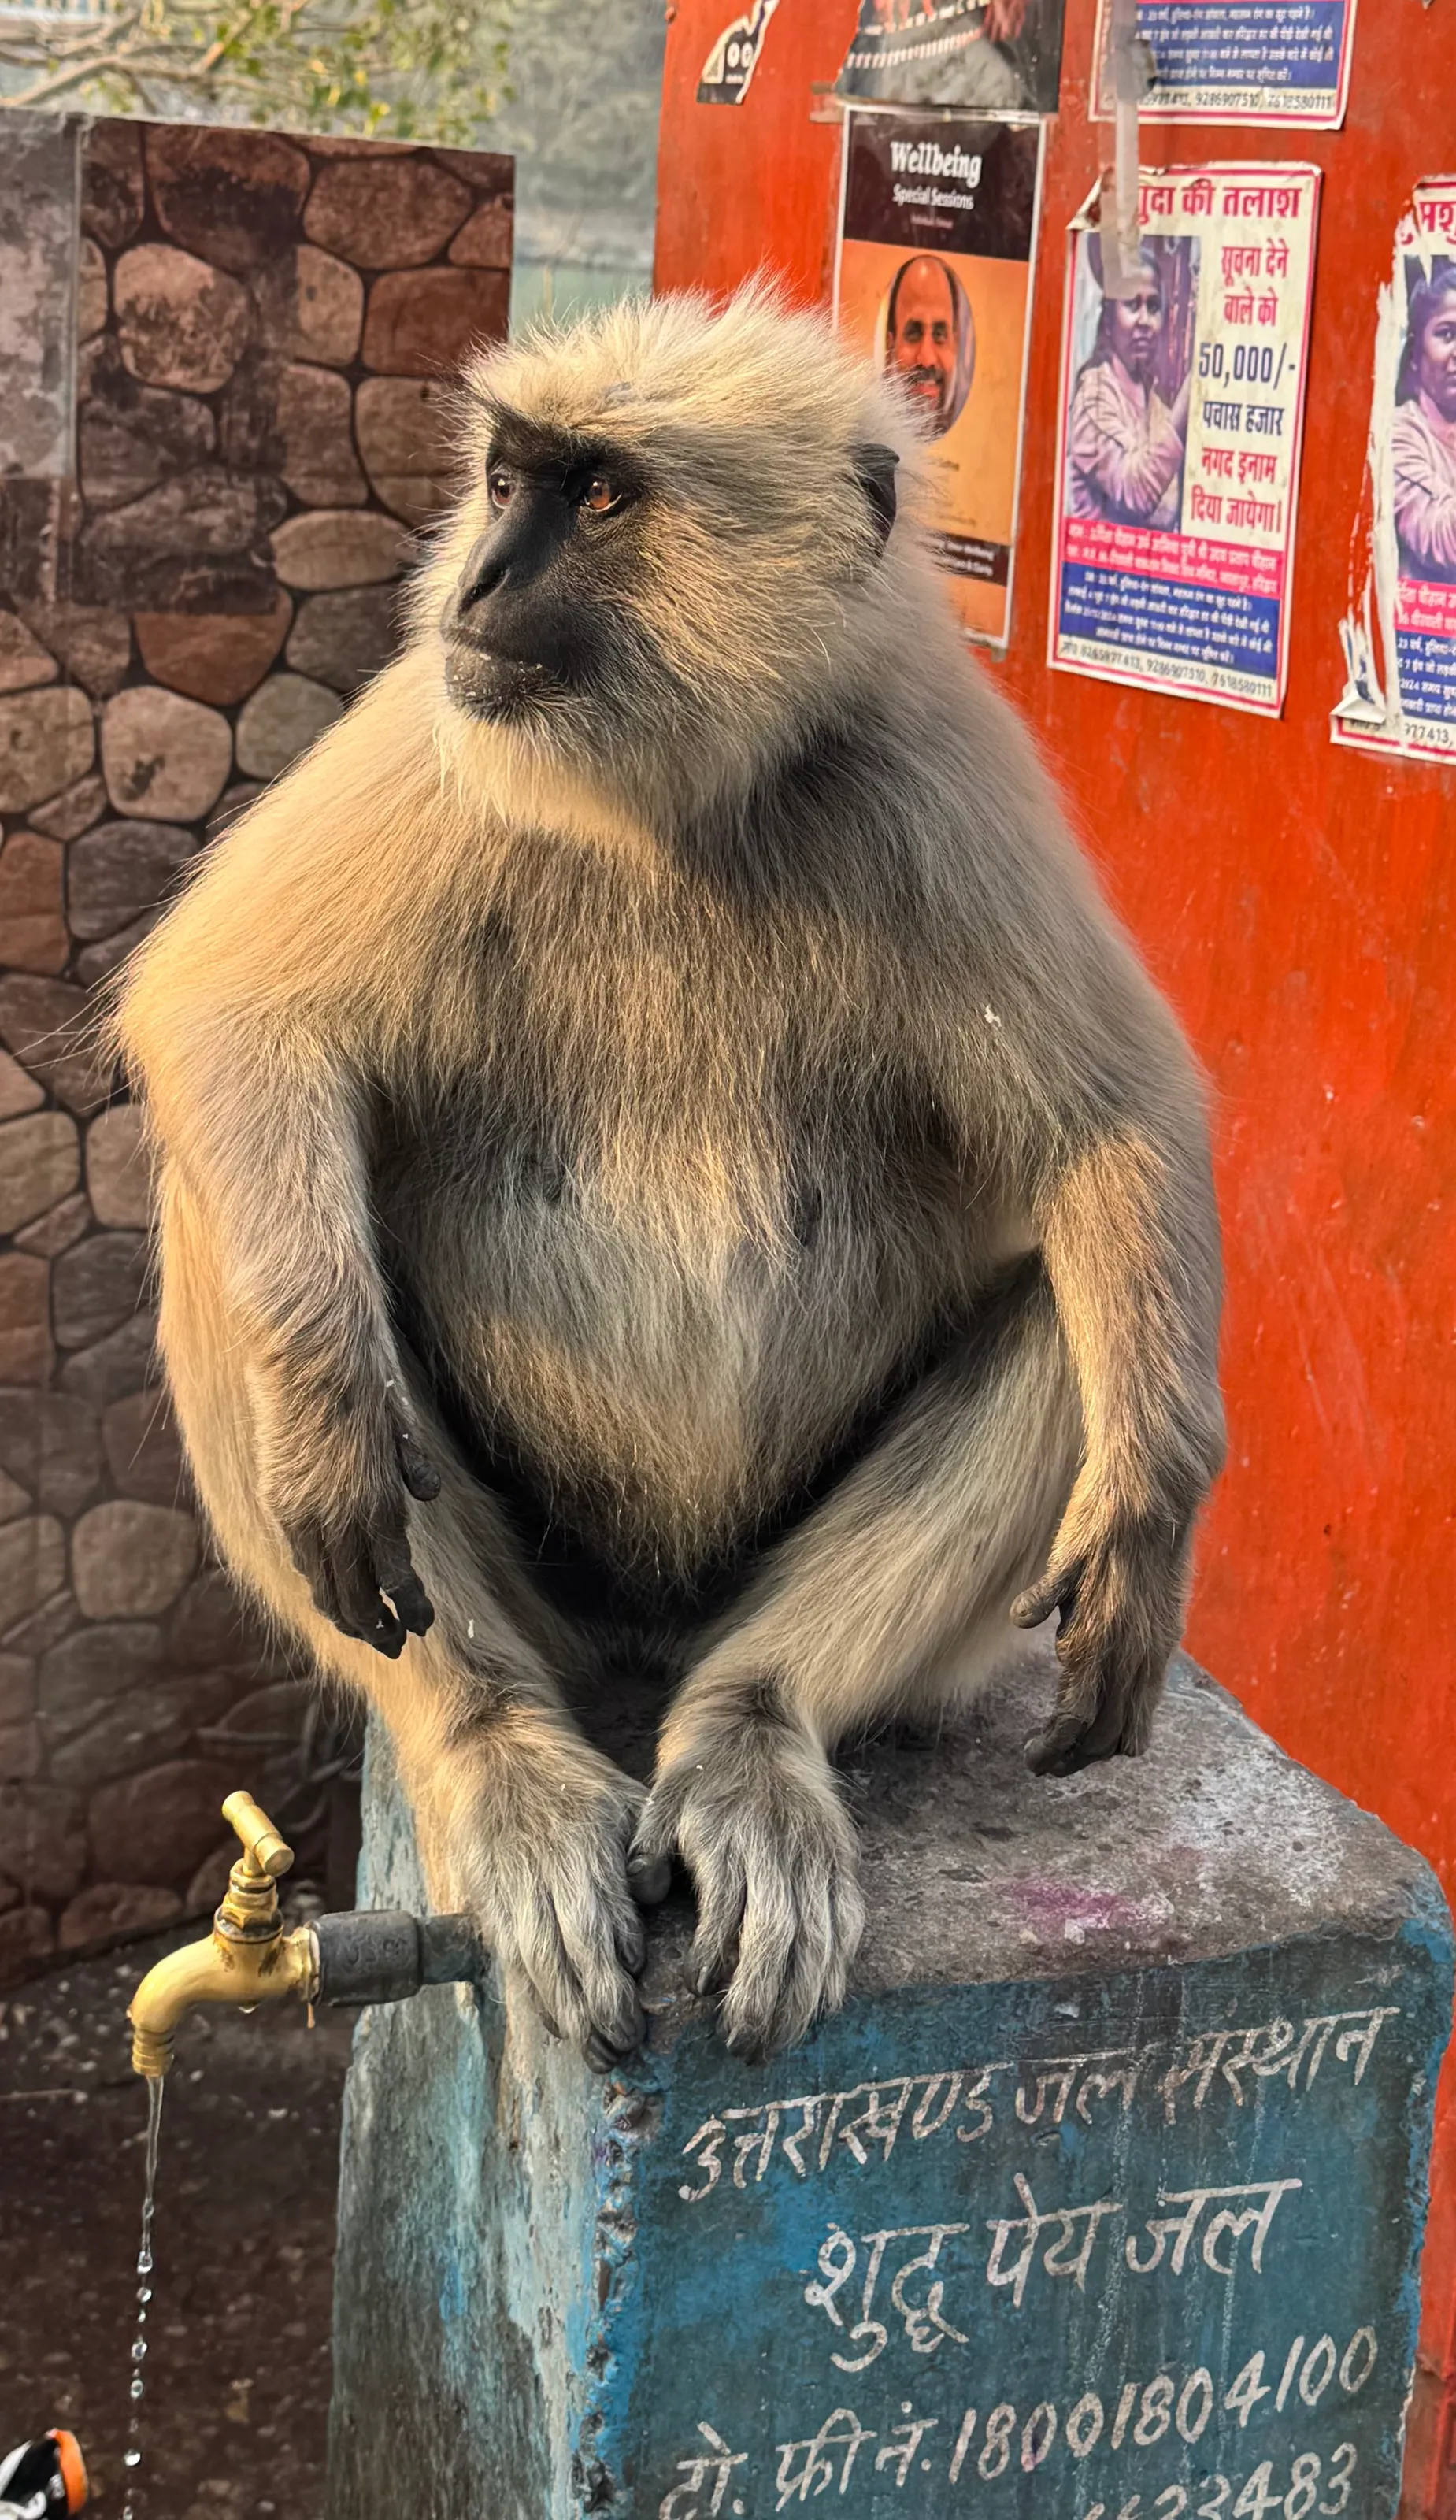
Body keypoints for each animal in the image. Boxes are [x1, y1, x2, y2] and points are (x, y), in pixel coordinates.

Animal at [116, 286, 1224, 2069]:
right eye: (506, 482)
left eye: (601, 498)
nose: (479, 582)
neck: (671, 802)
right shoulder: (441, 711)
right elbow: (226, 1012)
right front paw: (333, 1418)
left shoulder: (923, 759)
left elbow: (1111, 1128)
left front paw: (1150, 1511)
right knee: (234, 1239)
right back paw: (499, 1748)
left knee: (1069, 1318)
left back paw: (750, 1740)